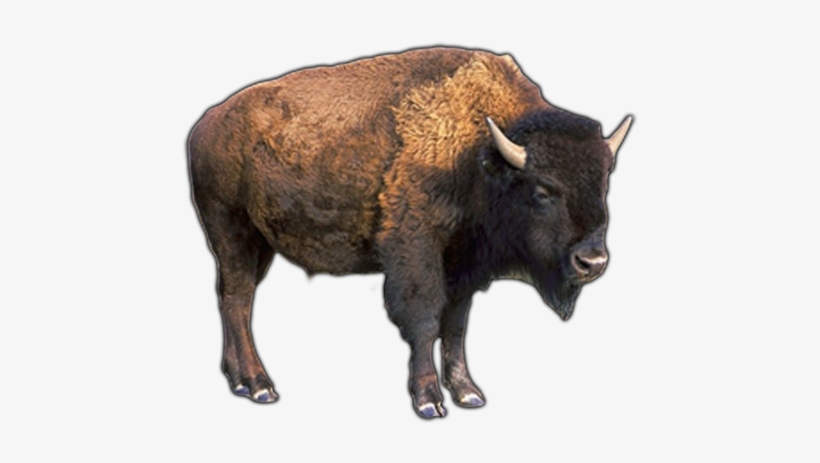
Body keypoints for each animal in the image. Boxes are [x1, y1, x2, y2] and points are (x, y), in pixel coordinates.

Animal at [188, 47, 632, 418]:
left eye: (603, 186)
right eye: (543, 191)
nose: (592, 261)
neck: (477, 152)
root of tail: (205, 126)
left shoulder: (463, 265)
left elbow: (456, 325)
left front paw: (468, 393)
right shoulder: (417, 249)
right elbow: (425, 320)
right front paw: (429, 400)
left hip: (258, 243)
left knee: (236, 299)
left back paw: (239, 379)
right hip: (230, 230)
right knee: (237, 300)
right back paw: (259, 385)